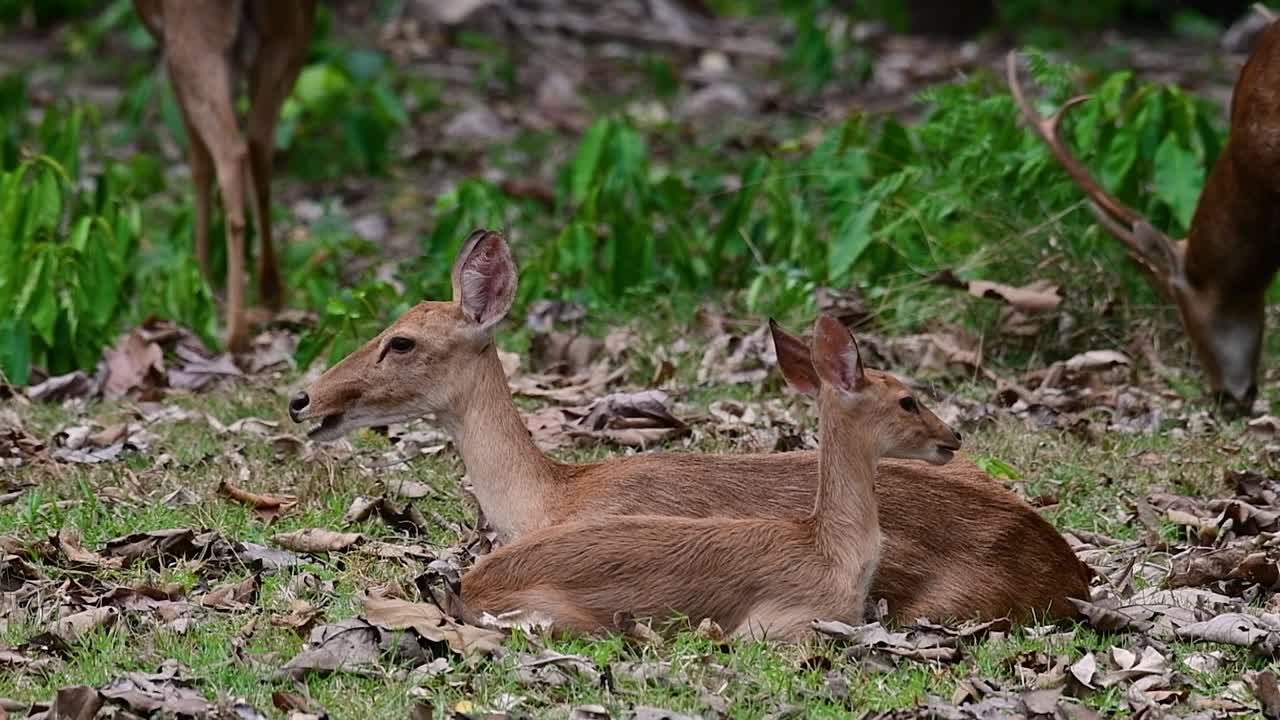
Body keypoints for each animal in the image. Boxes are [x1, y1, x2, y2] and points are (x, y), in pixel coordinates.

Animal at [133, 0, 317, 352]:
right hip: (287, 38)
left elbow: (199, 162)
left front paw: (200, 274)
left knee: (231, 151)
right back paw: (271, 292)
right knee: (259, 143)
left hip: (195, 44)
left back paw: (235, 331)